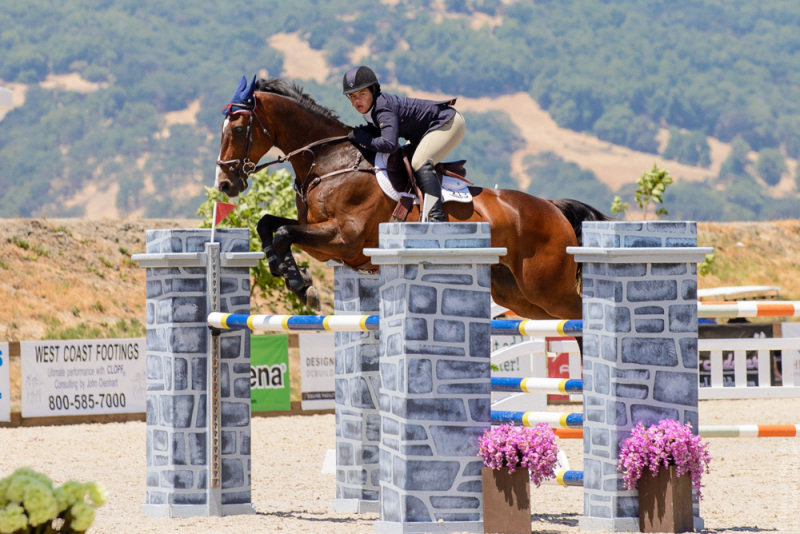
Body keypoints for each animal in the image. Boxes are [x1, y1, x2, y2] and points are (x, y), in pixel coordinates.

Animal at [212, 77, 608, 320]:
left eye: (239, 128)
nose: (225, 184)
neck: (328, 159)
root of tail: (552, 208)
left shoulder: (344, 238)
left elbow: (282, 232)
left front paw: (299, 284)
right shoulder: (322, 237)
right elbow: (269, 225)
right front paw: (286, 272)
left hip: (546, 288)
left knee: (580, 317)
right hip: (519, 295)